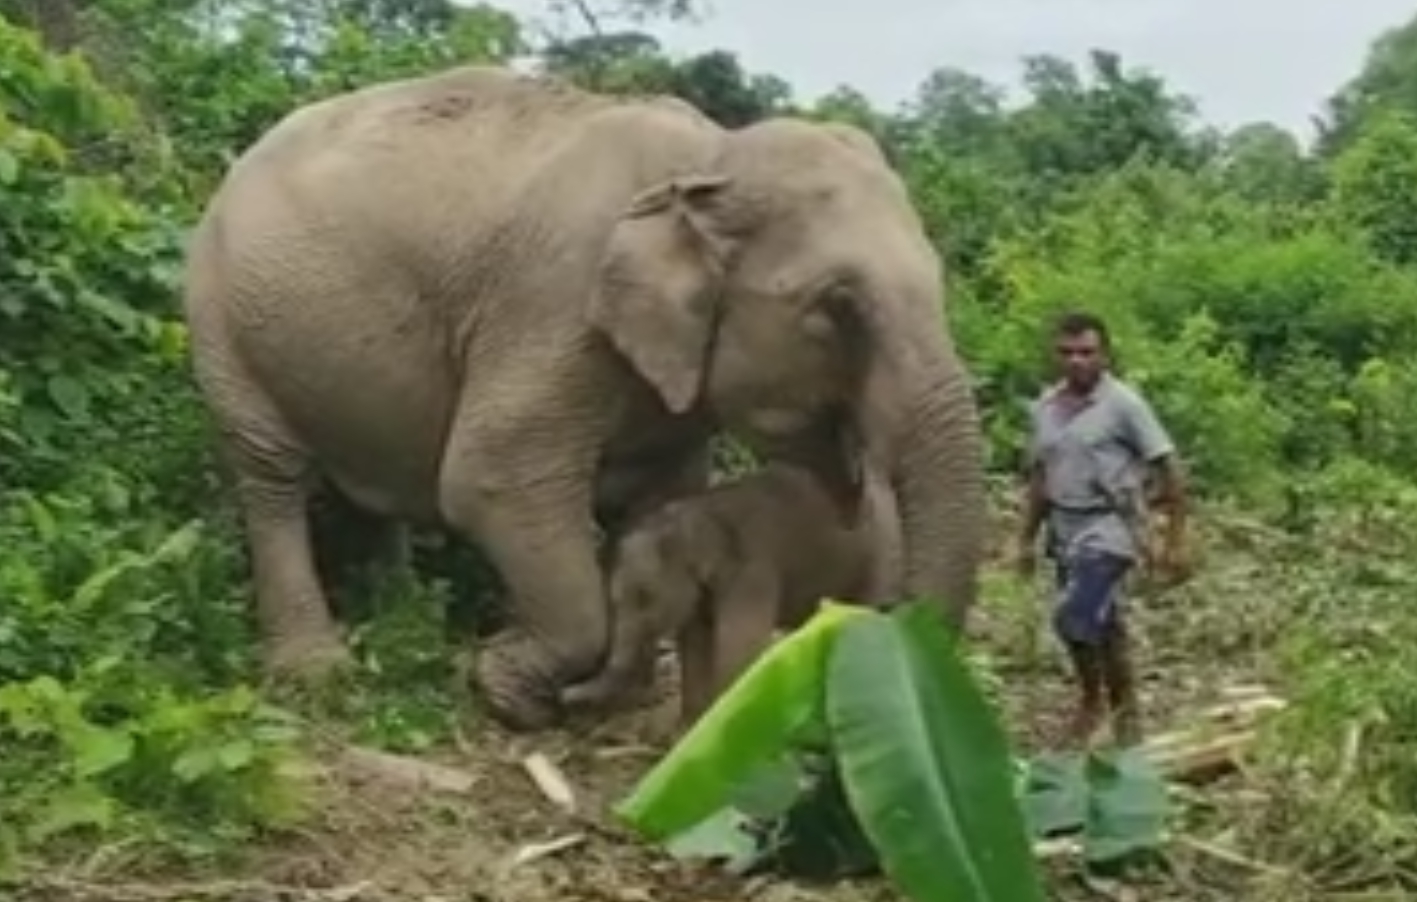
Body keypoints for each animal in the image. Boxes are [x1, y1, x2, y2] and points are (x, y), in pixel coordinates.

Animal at [561, 461, 895, 730]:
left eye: (646, 598)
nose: (563, 693)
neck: (697, 511)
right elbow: (694, 644)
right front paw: (686, 731)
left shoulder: (752, 574)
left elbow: (739, 651)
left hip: (878, 559)